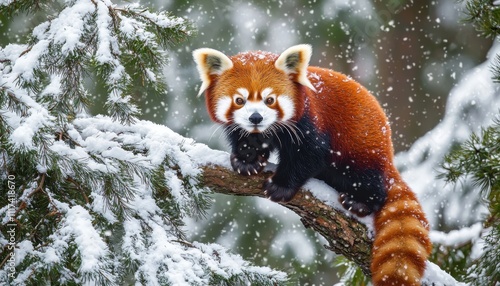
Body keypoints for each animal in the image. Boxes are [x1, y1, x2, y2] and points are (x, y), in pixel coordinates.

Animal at [193, 44, 432, 286]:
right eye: (239, 100)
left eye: (270, 100)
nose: (256, 118)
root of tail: (387, 151)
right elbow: (246, 141)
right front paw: (246, 160)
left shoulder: (310, 122)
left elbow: (309, 156)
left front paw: (281, 185)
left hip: (363, 150)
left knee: (369, 179)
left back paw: (360, 202)